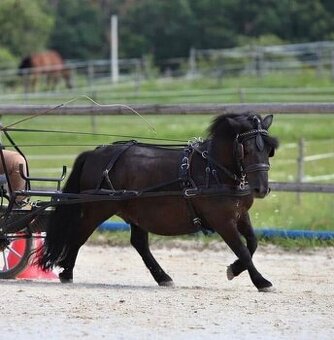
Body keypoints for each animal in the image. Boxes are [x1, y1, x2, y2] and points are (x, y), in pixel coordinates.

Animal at [37, 113, 280, 290]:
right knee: (79, 235)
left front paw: (235, 269)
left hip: (135, 210)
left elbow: (252, 243)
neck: (214, 169)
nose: (261, 189)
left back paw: (162, 277)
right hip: (97, 209)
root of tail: (96, 153)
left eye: (269, 150)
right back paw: (66, 271)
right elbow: (242, 249)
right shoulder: (221, 220)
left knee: (139, 244)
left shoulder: (240, 214)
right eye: (245, 149)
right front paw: (261, 281)